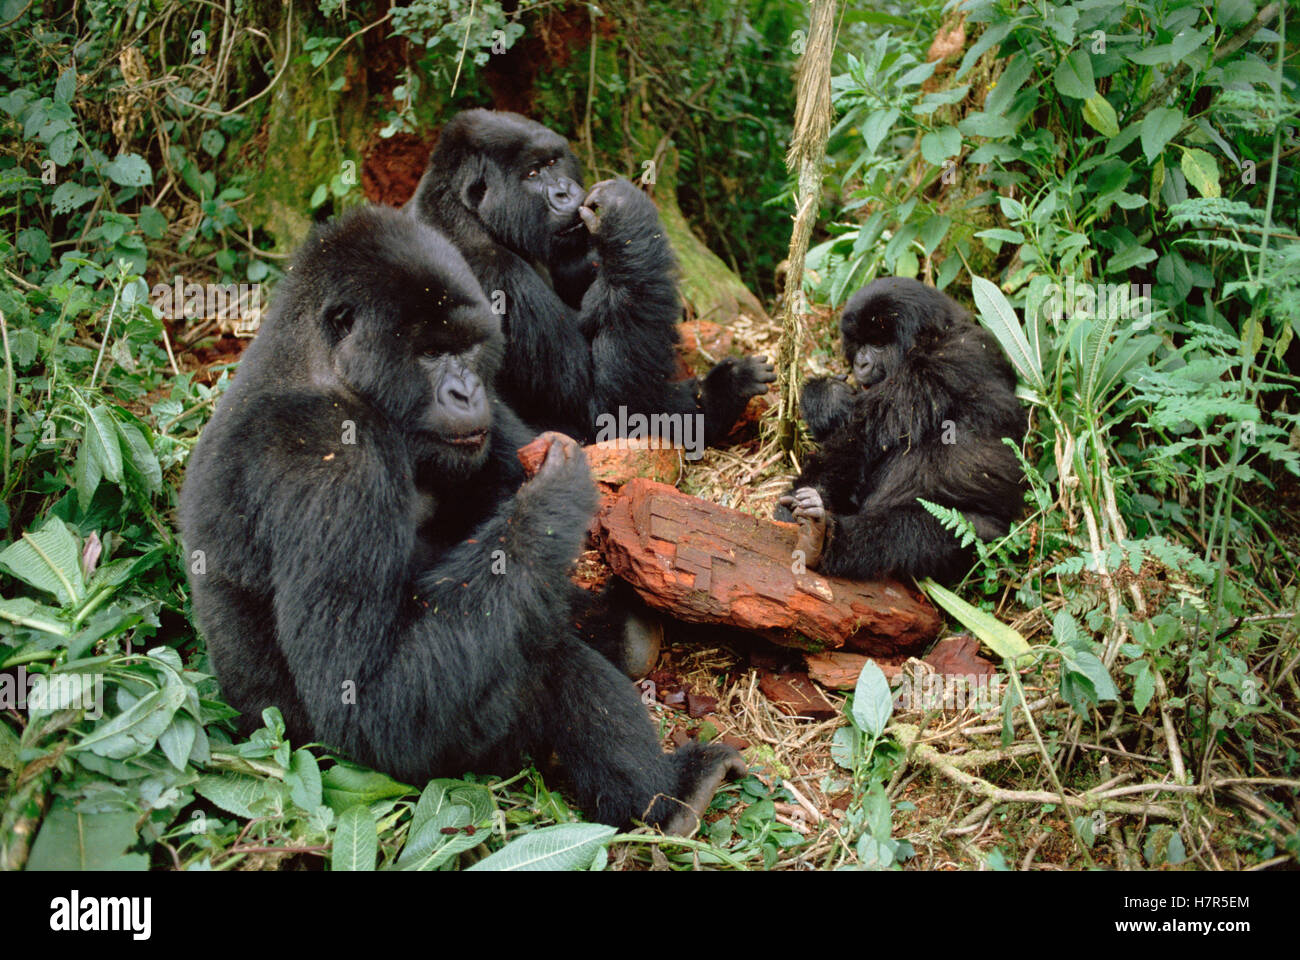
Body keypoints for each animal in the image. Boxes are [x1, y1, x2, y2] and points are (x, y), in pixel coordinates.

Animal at [184, 204, 754, 832]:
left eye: (470, 348)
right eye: (432, 352)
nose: (467, 391)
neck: (323, 366)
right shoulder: (329, 460)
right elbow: (364, 696)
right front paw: (553, 496)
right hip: (361, 761)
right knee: (537, 665)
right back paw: (666, 799)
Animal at [405, 110, 769, 447]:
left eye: (554, 162)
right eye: (532, 174)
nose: (565, 192)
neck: (468, 214)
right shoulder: (494, 276)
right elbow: (607, 406)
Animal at [774, 273, 1029, 580]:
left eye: (878, 343)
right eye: (859, 343)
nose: (860, 363)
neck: (935, 335)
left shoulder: (939, 364)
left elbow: (862, 437)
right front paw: (826, 397)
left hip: (982, 538)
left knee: (910, 534)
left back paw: (825, 540)